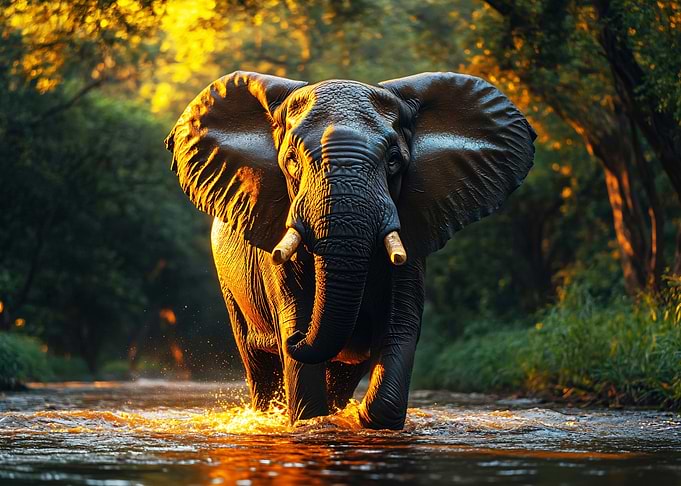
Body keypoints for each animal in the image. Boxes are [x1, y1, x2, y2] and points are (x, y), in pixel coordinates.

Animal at [165, 71, 535, 430]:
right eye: (291, 161)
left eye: (394, 161)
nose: (293, 338)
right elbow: (297, 319)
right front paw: (313, 422)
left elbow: (399, 326)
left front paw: (366, 420)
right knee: (258, 365)